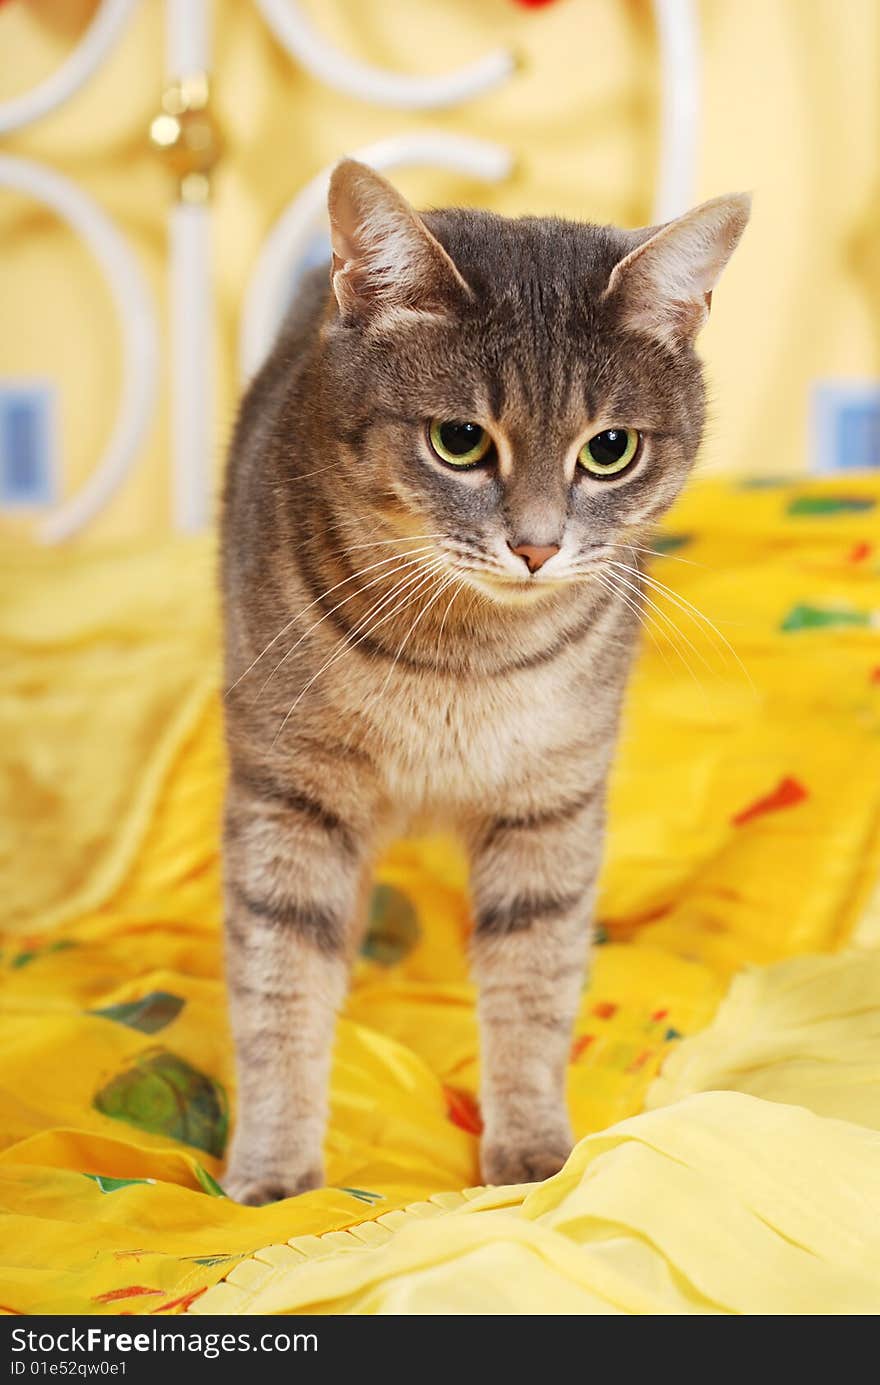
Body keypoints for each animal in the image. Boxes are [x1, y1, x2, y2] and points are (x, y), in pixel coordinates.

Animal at [221, 159, 748, 1202]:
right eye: (460, 440)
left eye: (610, 449)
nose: (537, 546)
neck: (460, 663)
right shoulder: (287, 792)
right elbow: (279, 982)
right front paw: (275, 1170)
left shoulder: (550, 802)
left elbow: (532, 983)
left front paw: (532, 1155)